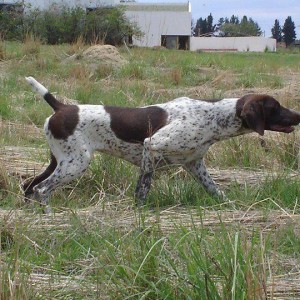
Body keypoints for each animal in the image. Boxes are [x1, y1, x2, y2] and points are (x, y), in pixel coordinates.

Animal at [22, 76, 300, 210]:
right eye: (275, 107)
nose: (298, 114)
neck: (213, 117)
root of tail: (61, 106)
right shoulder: (151, 146)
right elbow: (142, 190)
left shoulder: (195, 165)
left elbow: (216, 191)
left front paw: (232, 207)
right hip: (75, 163)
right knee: (42, 189)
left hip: (60, 160)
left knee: (29, 186)